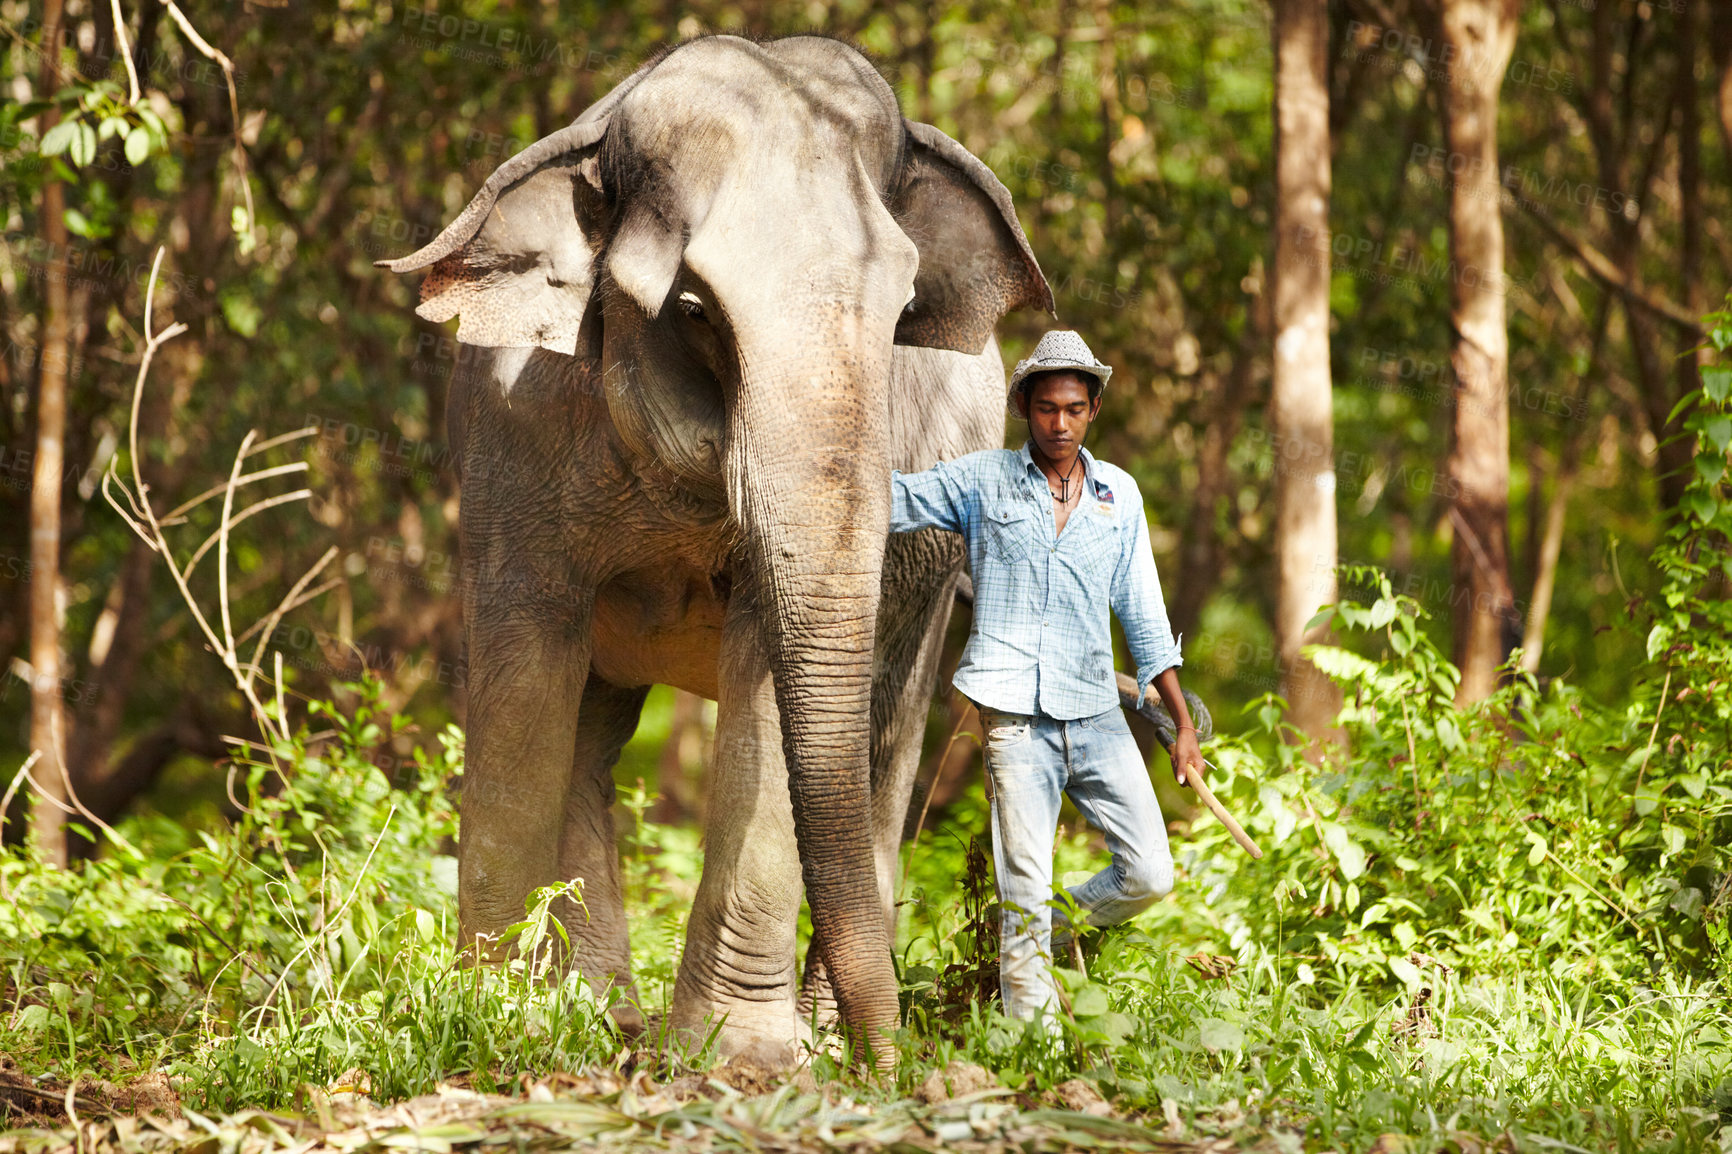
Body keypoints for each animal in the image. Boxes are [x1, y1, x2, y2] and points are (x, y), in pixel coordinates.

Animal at [381, 33, 1046, 1060]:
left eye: (902, 309)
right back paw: (607, 1014)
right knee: (592, 739)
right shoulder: (509, 436)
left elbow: (768, 689)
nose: (892, 1064)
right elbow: (524, 680)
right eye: (694, 309)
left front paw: (744, 1056)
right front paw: (492, 1022)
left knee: (886, 738)